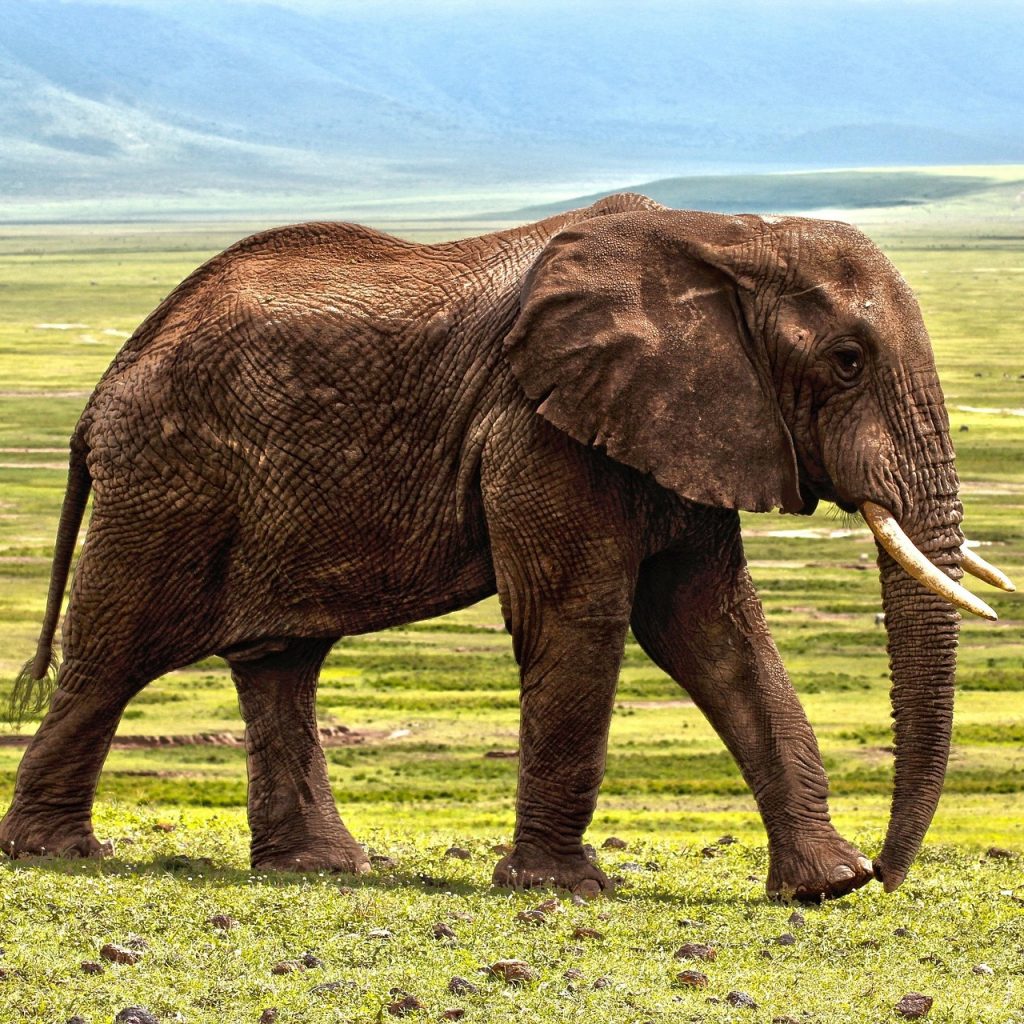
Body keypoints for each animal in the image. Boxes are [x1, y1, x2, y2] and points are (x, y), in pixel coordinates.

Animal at [1, 192, 1013, 902]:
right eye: (847, 361)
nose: (887, 873)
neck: (727, 236)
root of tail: (104, 387)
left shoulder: (685, 423)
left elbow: (714, 631)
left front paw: (824, 888)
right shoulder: (538, 427)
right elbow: (581, 619)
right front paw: (565, 890)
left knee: (279, 662)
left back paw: (320, 870)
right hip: (167, 479)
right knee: (114, 652)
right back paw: (57, 854)